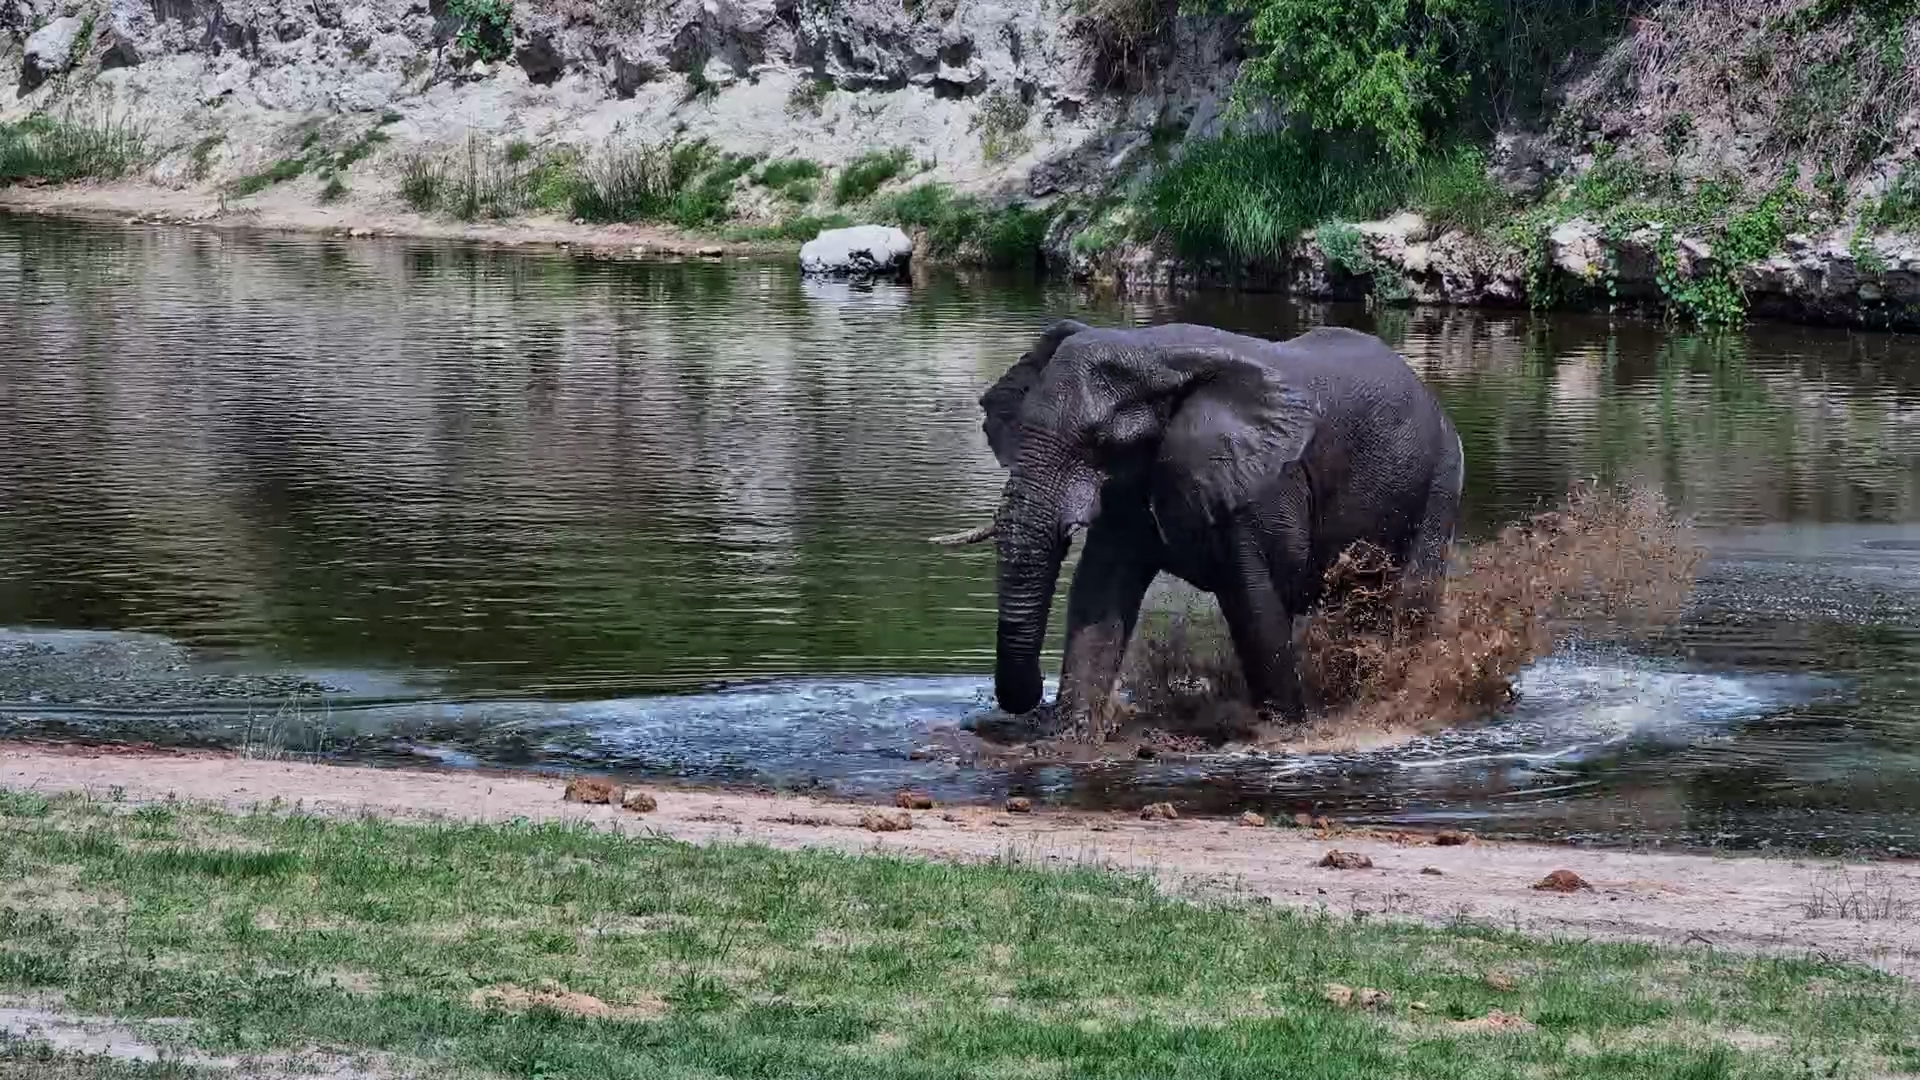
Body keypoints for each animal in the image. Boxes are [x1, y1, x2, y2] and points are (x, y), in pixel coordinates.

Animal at [932, 320, 1465, 740]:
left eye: (1098, 440)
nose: (1031, 698)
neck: (1155, 353)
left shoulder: (1266, 482)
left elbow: (1255, 605)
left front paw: (1286, 733)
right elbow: (1098, 596)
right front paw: (1069, 739)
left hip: (1442, 476)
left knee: (1410, 597)